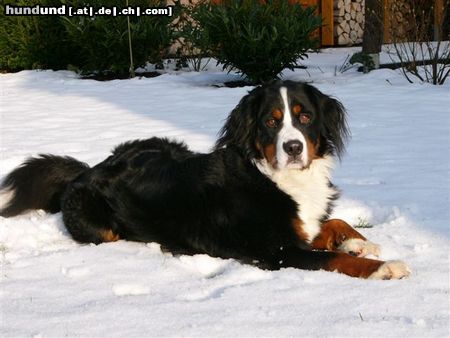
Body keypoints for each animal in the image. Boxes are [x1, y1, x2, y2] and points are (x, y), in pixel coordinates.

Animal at [0, 80, 410, 278]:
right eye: (271, 121)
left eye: (304, 116)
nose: (293, 147)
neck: (274, 178)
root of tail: (90, 168)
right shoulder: (276, 252)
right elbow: (331, 259)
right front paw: (383, 267)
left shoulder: (298, 229)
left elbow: (332, 222)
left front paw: (359, 242)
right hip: (101, 226)